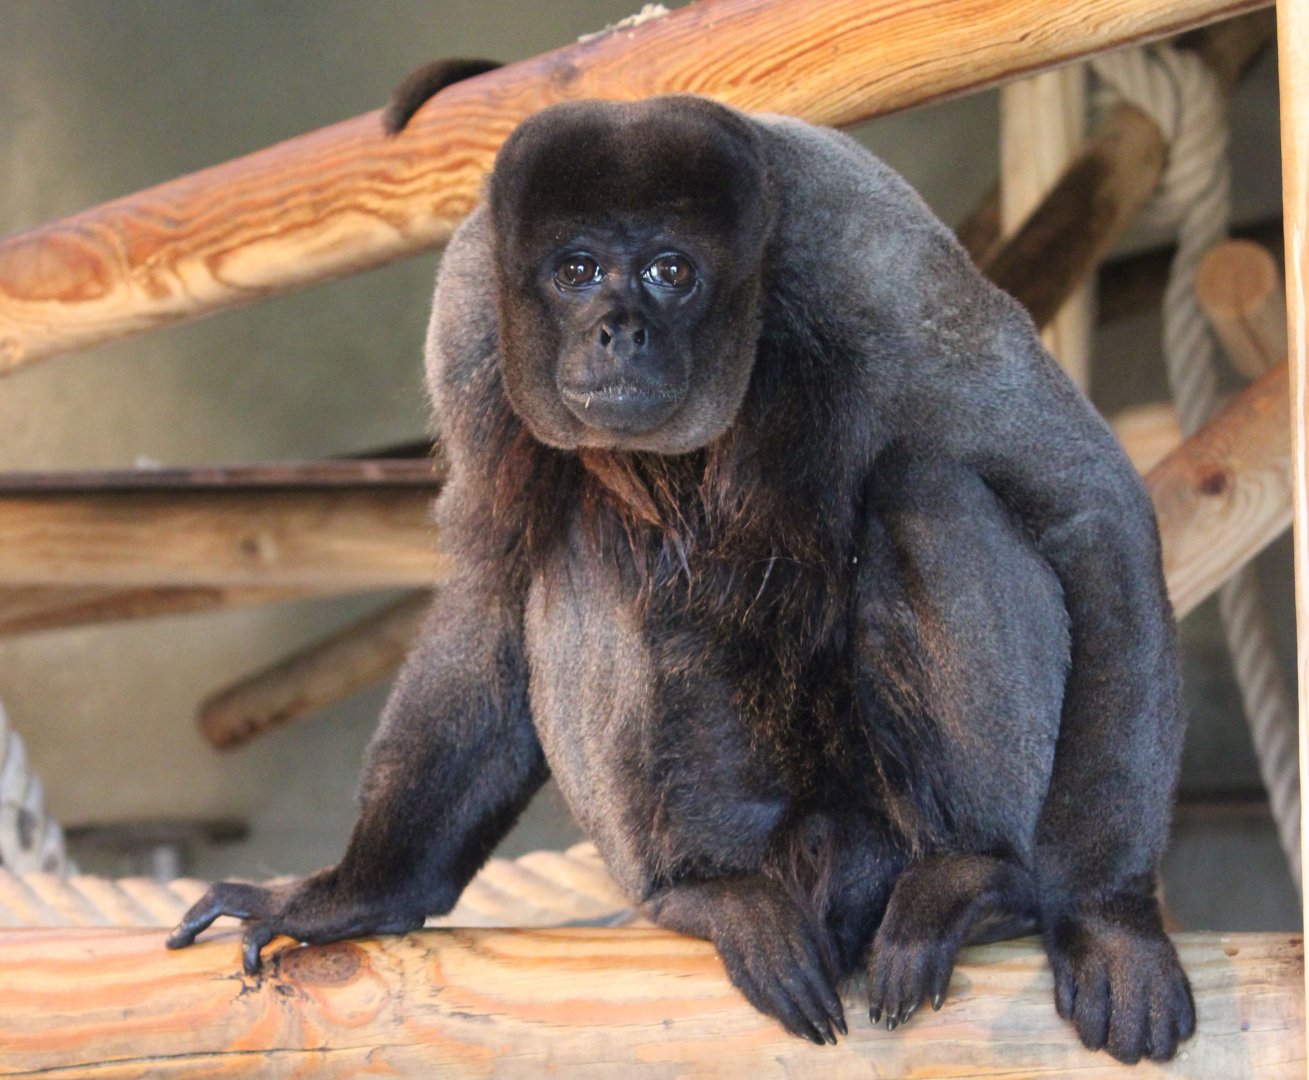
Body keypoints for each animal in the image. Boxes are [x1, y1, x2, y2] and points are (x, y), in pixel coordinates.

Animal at [168, 92, 1194, 1064]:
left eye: (671, 271)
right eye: (576, 271)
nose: (617, 331)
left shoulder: (875, 257)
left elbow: (1091, 510)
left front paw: (1108, 918)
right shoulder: (465, 313)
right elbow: (490, 592)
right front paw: (356, 893)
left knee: (928, 486)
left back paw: (976, 880)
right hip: (729, 814)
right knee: (572, 552)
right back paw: (696, 894)